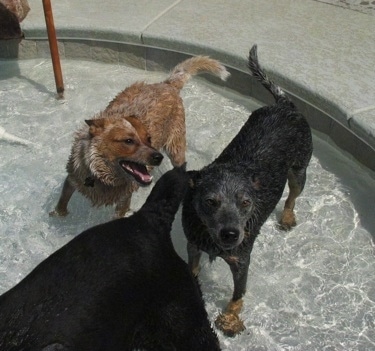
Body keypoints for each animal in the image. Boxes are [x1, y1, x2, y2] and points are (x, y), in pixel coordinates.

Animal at [50, 56, 231, 219]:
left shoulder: (124, 198)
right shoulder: (72, 178)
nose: (158, 157)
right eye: (128, 141)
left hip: (175, 148)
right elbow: (63, 199)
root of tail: (167, 85)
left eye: (149, 139)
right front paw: (58, 214)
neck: (101, 175)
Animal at [182, 44, 314, 338]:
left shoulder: (241, 260)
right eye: (210, 201)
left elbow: (238, 294)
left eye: (246, 203)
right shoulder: (193, 243)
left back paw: (287, 216)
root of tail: (284, 105)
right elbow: (192, 269)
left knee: (292, 195)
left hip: (300, 168)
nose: (231, 234)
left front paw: (230, 319)